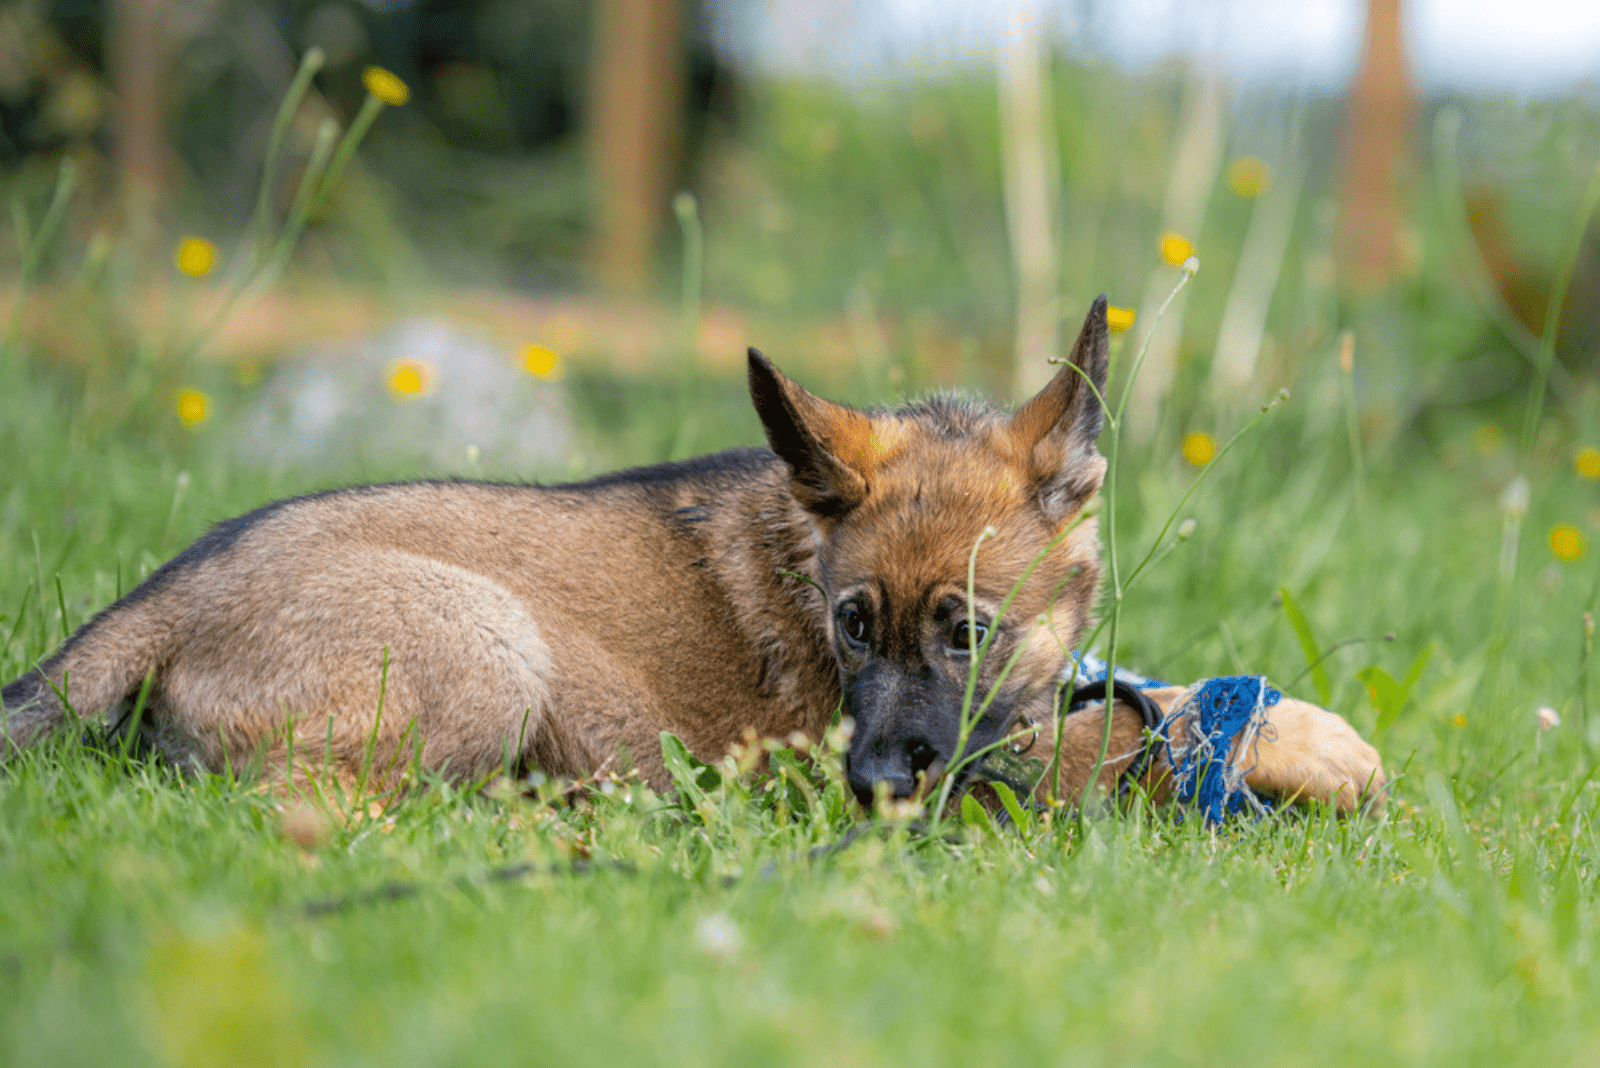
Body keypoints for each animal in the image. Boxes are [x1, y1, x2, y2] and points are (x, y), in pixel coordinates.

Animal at [0, 295, 1382, 812]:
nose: (866, 785)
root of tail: (171, 590)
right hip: (491, 647)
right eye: (849, 626)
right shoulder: (983, 776)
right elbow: (1111, 738)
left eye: (969, 632)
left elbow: (1137, 696)